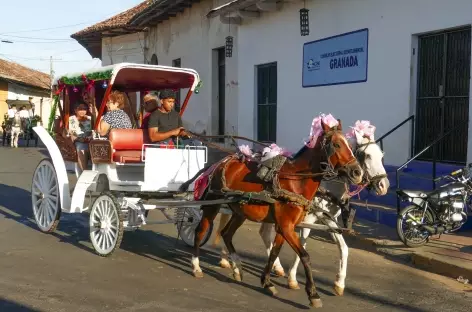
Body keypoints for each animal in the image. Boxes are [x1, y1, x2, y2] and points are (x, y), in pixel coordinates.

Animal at [187, 118, 362, 308]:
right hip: (213, 204)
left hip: (240, 211)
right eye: (336, 144)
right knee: (201, 230)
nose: (357, 172)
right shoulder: (286, 226)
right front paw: (313, 293)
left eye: (349, 145)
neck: (295, 181)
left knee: (227, 233)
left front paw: (267, 282)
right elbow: (305, 256)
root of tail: (222, 162)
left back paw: (237, 267)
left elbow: (274, 252)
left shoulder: (284, 226)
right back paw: (196, 266)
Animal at [212, 120, 390, 296]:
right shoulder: (306, 220)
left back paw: (270, 267)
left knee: (261, 234)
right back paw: (226, 259)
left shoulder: (329, 220)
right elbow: (302, 246)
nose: (384, 185)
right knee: (225, 226)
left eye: (381, 156)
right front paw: (293, 279)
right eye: (367, 155)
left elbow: (343, 248)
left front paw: (339, 283)